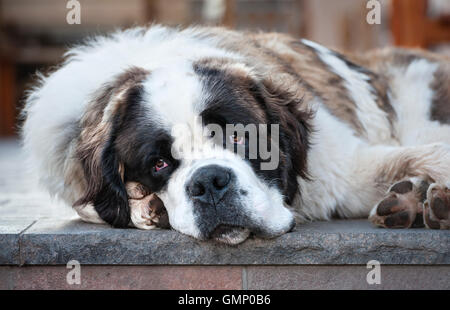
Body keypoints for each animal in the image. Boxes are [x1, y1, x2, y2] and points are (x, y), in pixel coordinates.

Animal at [22, 25, 450, 245]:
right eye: (158, 164)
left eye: (241, 139)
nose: (209, 183)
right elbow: (92, 205)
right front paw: (145, 203)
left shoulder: (343, 168)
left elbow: (427, 154)